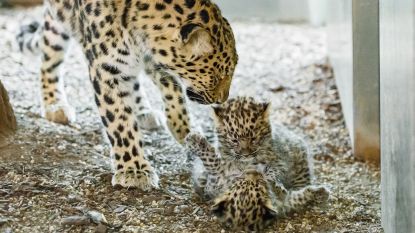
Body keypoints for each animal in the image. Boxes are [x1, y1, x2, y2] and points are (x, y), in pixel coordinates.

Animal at [17, 0, 237, 189]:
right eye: (219, 76)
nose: (223, 99)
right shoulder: (105, 68)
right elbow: (119, 120)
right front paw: (134, 169)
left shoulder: (152, 56)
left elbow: (173, 90)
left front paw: (187, 131)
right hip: (58, 28)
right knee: (49, 59)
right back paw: (54, 104)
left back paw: (144, 111)